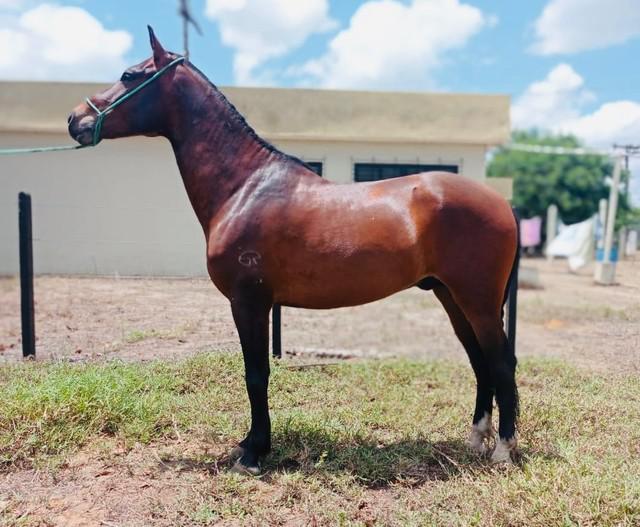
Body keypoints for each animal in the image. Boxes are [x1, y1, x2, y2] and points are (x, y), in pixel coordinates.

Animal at [69, 27, 520, 474]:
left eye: (129, 75)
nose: (75, 119)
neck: (245, 186)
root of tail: (502, 203)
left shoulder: (249, 301)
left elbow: (256, 374)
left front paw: (253, 454)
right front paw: (250, 444)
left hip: (475, 299)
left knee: (500, 361)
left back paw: (502, 449)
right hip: (451, 296)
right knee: (479, 361)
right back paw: (476, 440)